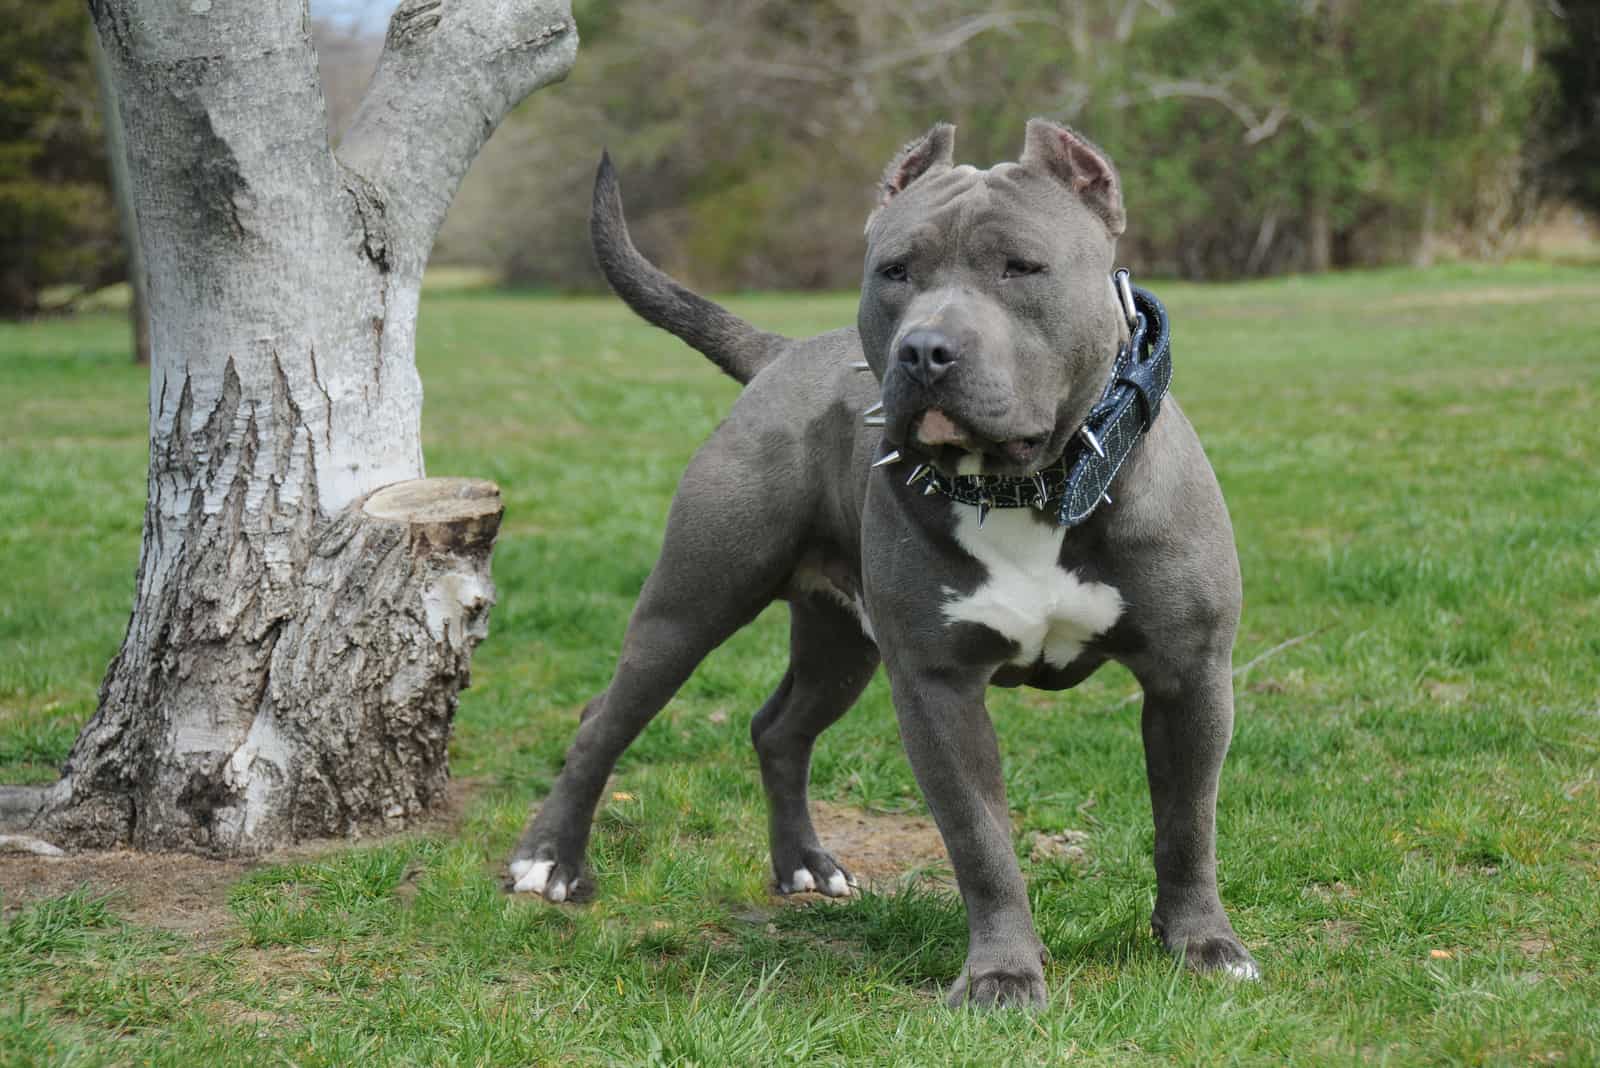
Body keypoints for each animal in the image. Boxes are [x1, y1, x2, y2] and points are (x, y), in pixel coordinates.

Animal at [512, 120, 1260, 1004]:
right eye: (895, 271)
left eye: (1021, 267)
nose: (925, 350)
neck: (1025, 486)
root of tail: (782, 353)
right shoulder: (937, 689)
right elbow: (981, 841)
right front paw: (1002, 974)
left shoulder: (1190, 676)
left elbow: (1188, 825)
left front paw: (1203, 943)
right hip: (690, 606)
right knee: (606, 719)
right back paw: (550, 861)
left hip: (840, 643)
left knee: (779, 728)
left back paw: (803, 864)